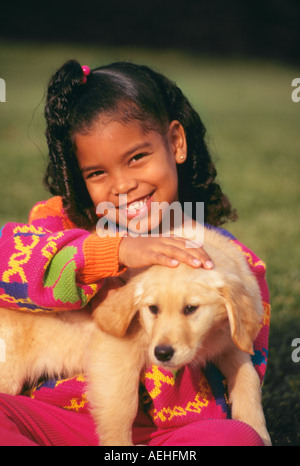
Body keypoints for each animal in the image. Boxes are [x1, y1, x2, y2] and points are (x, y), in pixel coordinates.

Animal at [87, 229, 272, 448]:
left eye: (190, 308)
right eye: (153, 308)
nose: (162, 353)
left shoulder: (230, 344)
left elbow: (248, 378)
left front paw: (258, 430)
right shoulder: (116, 348)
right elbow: (121, 403)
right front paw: (118, 443)